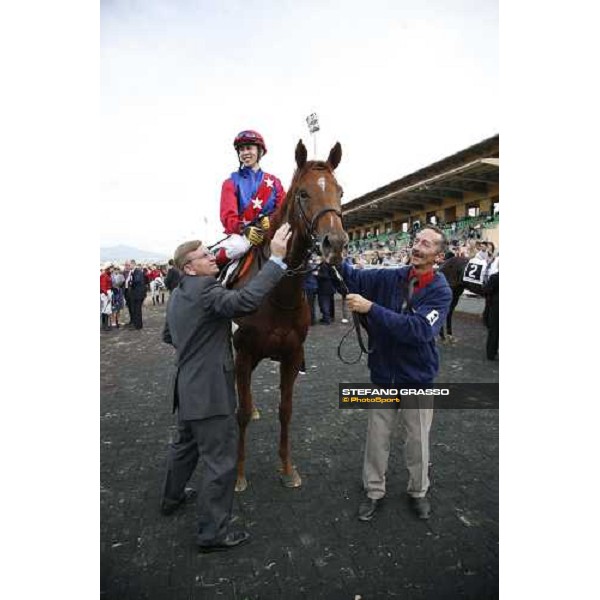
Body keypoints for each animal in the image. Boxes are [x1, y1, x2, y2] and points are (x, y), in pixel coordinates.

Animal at [232, 139, 350, 492]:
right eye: (303, 193)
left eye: (340, 191)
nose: (335, 243)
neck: (276, 292)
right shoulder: (244, 351)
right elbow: (241, 414)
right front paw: (238, 475)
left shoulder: (292, 354)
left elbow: (285, 410)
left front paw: (287, 468)